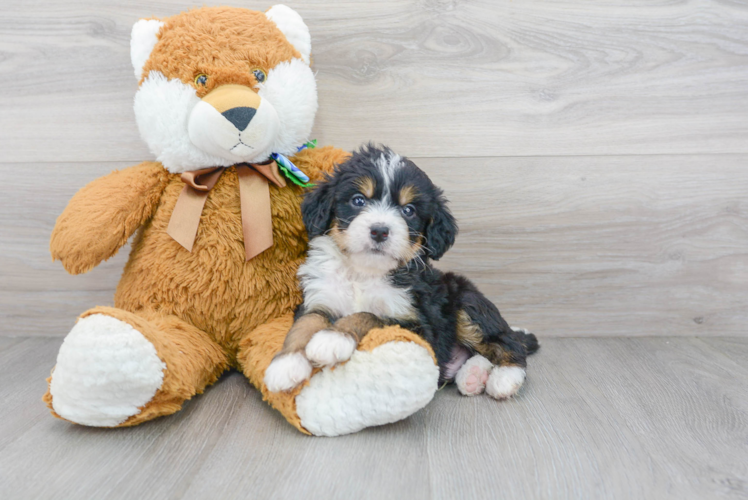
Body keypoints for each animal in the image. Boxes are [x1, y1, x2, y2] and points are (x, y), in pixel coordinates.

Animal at [262, 144, 536, 398]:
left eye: (408, 210)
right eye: (358, 200)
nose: (380, 230)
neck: (363, 272)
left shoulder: (416, 324)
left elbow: (369, 315)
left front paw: (333, 338)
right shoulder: (318, 297)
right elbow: (306, 323)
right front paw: (286, 363)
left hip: (466, 302)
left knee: (509, 342)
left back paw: (505, 377)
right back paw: (473, 375)